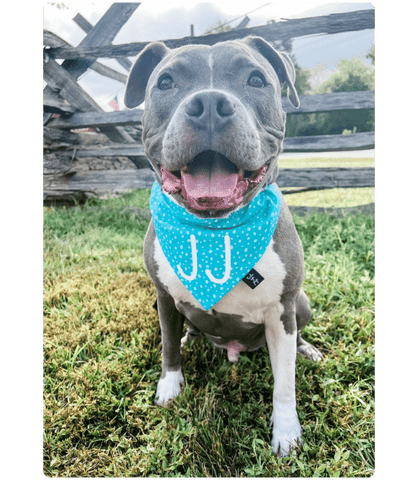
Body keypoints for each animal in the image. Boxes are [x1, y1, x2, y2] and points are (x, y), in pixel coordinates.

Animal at [124, 35, 324, 456]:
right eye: (165, 82)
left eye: (256, 80)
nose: (210, 106)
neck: (215, 232)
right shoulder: (162, 296)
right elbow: (168, 345)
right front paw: (170, 386)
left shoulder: (282, 311)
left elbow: (285, 382)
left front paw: (286, 432)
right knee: (185, 329)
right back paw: (191, 335)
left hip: (301, 303)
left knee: (298, 335)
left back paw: (307, 349)